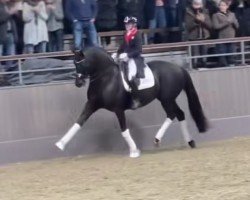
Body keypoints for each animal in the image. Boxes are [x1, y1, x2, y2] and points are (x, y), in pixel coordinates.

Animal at [55, 47, 208, 158]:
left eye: (83, 63)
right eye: (74, 63)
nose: (78, 83)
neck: (106, 78)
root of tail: (179, 68)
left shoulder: (118, 109)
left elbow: (124, 130)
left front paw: (134, 151)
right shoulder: (92, 105)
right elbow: (78, 122)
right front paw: (60, 144)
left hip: (166, 99)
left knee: (172, 114)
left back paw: (157, 140)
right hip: (168, 99)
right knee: (180, 114)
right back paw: (190, 141)